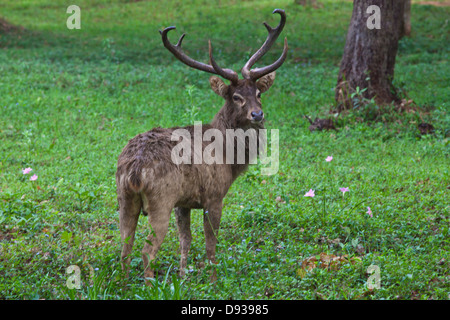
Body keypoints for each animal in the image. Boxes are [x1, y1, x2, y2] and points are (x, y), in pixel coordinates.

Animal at [116, 8, 288, 282]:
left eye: (259, 93)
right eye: (236, 97)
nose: (257, 114)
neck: (229, 159)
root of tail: (135, 169)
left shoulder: (183, 202)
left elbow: (185, 240)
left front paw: (184, 277)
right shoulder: (214, 195)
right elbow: (210, 244)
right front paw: (213, 280)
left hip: (124, 198)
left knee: (124, 247)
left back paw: (123, 284)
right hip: (160, 199)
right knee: (146, 250)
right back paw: (150, 283)